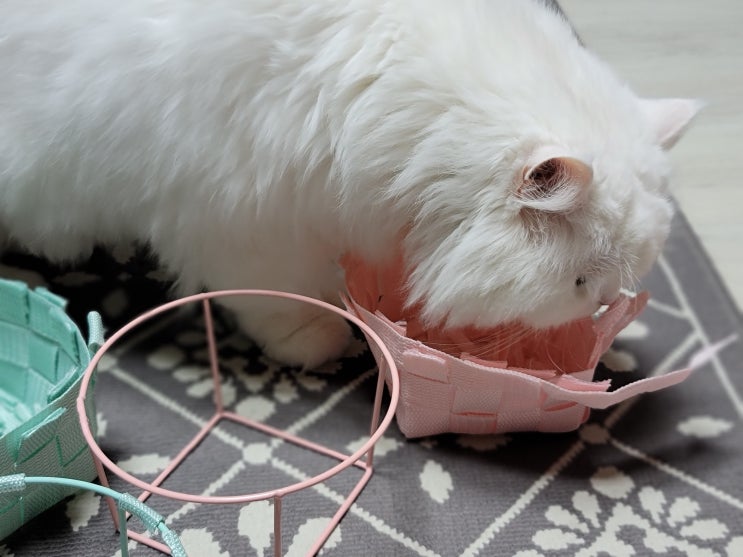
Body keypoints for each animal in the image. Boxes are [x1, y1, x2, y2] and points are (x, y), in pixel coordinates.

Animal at [0, 0, 698, 368]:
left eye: (607, 288)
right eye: (579, 284)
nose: (595, 307)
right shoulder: (243, 223)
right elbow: (275, 297)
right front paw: (319, 339)